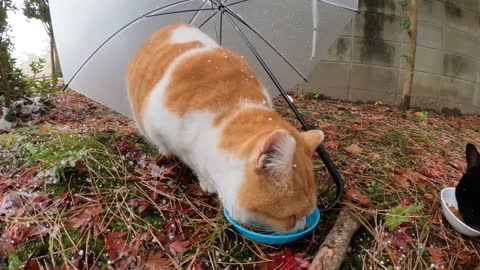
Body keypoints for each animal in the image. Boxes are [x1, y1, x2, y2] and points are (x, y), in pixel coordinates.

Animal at [125, 23, 324, 233]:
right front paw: (206, 181)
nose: (303, 227)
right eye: (291, 217)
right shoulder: (162, 126)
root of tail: (169, 25)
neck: (231, 110)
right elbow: (193, 162)